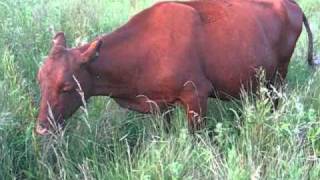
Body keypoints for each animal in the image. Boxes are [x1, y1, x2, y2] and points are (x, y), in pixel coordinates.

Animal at [36, 0, 314, 135]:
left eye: (67, 86)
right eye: (41, 81)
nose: (41, 127)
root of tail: (290, 3)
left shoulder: (196, 95)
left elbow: (196, 138)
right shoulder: (160, 104)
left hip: (279, 76)